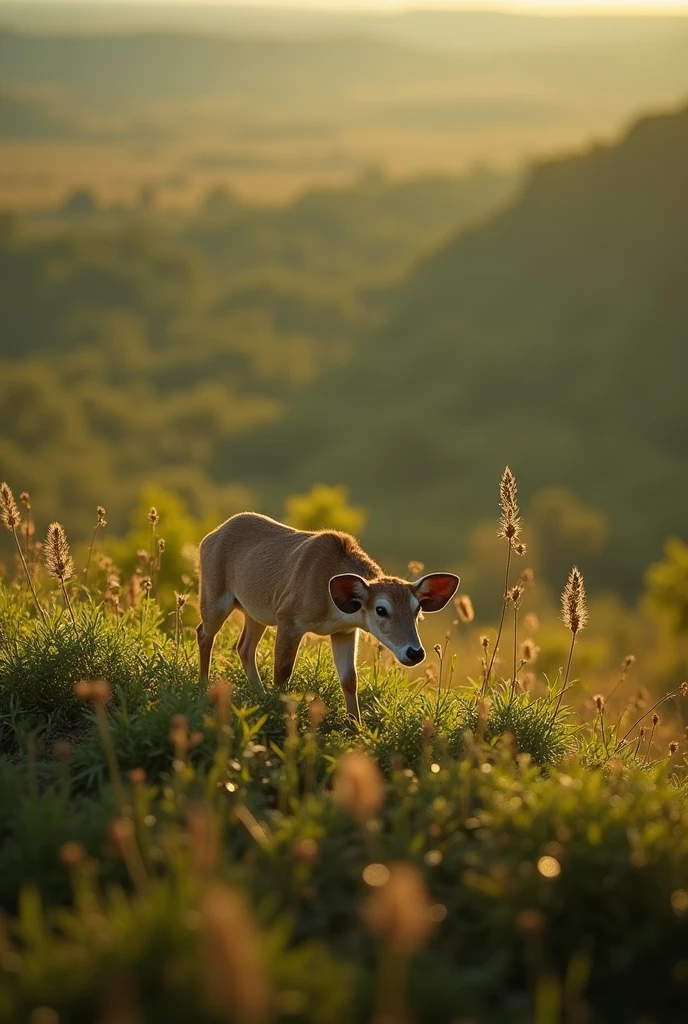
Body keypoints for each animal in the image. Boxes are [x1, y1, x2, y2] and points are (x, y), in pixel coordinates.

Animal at [196, 512, 458, 720]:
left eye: (417, 609)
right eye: (381, 609)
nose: (415, 653)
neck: (330, 605)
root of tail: (208, 537)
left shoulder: (345, 631)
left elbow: (349, 679)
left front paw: (356, 726)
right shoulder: (288, 616)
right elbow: (283, 670)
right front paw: (281, 712)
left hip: (255, 611)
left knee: (244, 647)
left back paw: (257, 692)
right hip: (214, 592)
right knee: (204, 633)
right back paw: (202, 686)